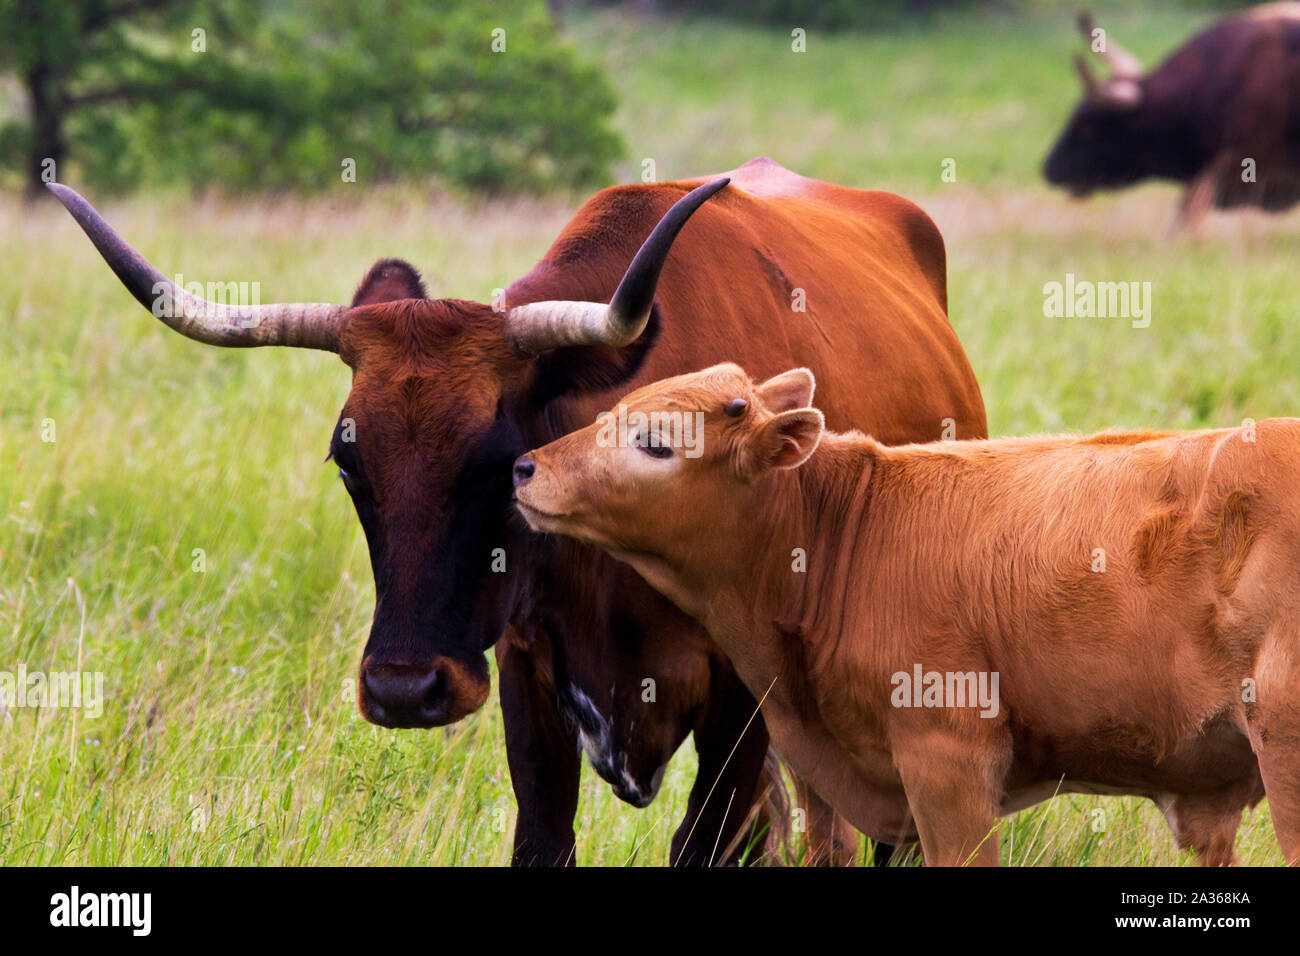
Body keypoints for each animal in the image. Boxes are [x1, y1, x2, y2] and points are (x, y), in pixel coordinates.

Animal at [48, 158, 982, 868]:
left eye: (504, 463)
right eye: (348, 460)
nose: (403, 688)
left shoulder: (742, 704)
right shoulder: (528, 674)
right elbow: (543, 841)